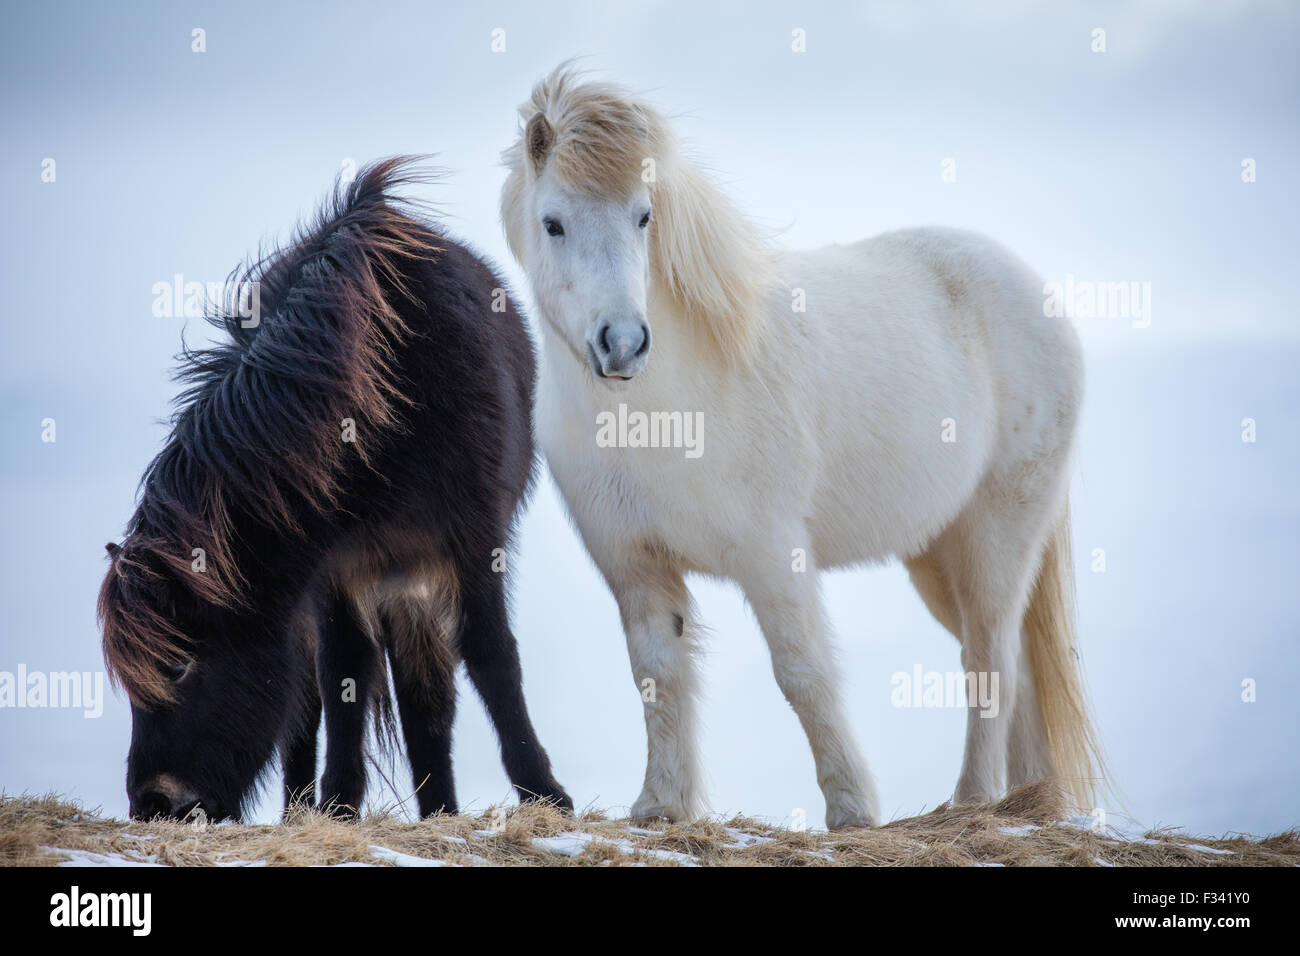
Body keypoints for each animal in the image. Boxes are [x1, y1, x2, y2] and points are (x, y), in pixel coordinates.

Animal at [99, 157, 571, 822]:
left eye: (178, 664)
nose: (154, 803)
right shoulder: (335, 570)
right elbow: (341, 674)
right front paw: (337, 806)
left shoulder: (471, 541)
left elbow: (490, 656)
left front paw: (545, 794)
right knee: (312, 705)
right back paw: (305, 806)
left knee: (426, 693)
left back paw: (441, 808)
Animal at [501, 68, 1103, 828]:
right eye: (554, 222)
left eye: (643, 215)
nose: (624, 344)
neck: (656, 413)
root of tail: (1039, 294)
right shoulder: (634, 565)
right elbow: (658, 675)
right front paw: (661, 806)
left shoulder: (772, 554)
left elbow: (803, 672)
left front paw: (851, 810)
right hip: (937, 555)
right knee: (1014, 662)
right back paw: (1028, 806)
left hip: (997, 534)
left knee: (990, 656)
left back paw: (970, 801)